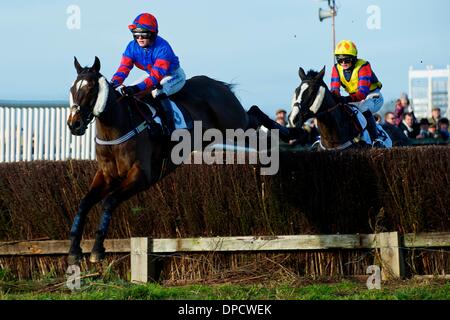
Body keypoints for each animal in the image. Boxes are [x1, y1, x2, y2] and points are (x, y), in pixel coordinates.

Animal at [65, 56, 294, 264]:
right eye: (73, 89)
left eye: (91, 89)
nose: (74, 124)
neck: (117, 128)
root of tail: (216, 84)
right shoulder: (106, 176)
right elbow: (84, 203)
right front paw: (74, 250)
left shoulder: (141, 176)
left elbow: (109, 202)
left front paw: (97, 249)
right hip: (223, 134)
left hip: (235, 125)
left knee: (253, 112)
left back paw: (292, 133)